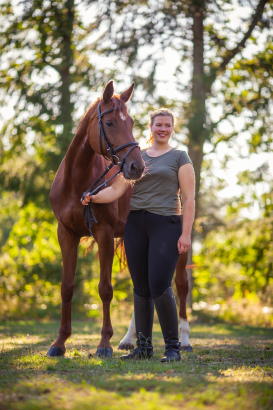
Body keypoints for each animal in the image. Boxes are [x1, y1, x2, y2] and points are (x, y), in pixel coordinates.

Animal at [46, 81, 144, 358]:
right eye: (110, 123)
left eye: (131, 122)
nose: (137, 167)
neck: (78, 182)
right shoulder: (66, 234)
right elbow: (67, 287)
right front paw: (59, 343)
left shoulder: (104, 235)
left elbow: (105, 289)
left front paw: (104, 344)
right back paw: (130, 340)